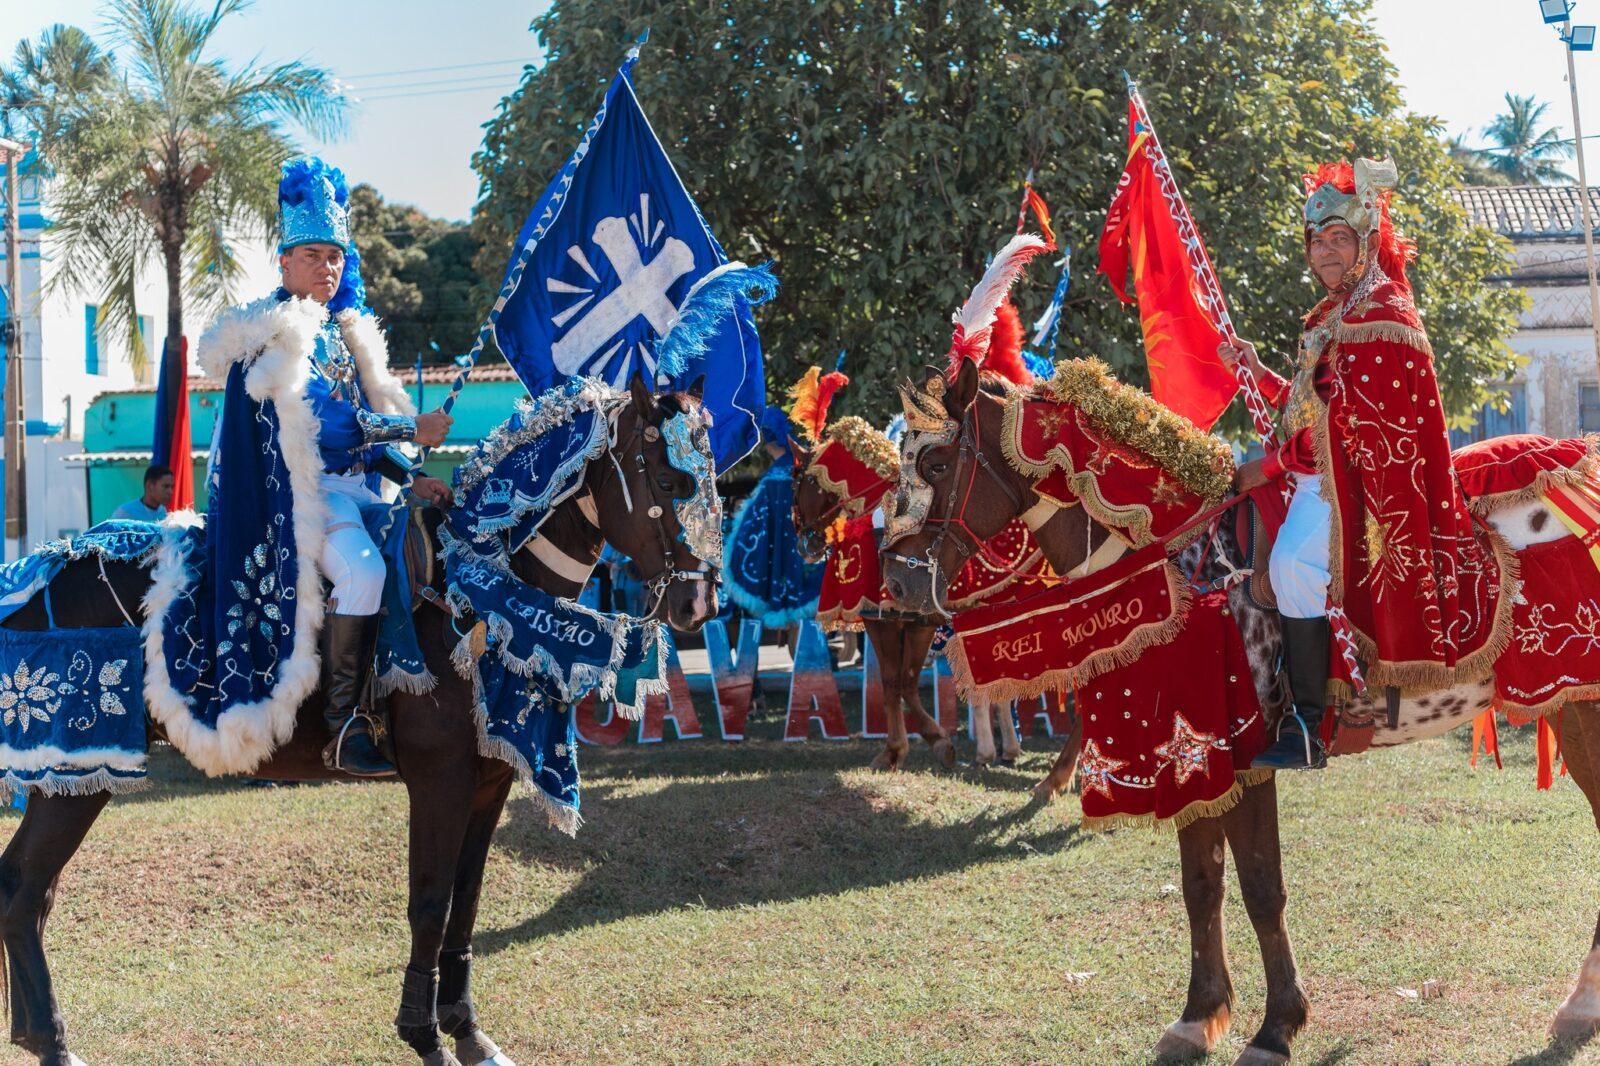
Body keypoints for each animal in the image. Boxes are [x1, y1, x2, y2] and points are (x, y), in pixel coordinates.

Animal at [0, 376, 716, 1062]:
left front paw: (467, 1030)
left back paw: (34, 1034)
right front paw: (425, 1036)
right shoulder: (440, 783)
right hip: (81, 769)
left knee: (24, 885)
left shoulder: (489, 784)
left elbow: (465, 905)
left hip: (69, 775)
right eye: (669, 480)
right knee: (28, 886)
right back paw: (55, 1041)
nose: (699, 603)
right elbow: (429, 904)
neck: (479, 595)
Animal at [883, 358, 1600, 1062]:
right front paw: (1199, 1017)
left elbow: (1260, 886)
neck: (1180, 569)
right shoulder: (1189, 760)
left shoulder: (1244, 757)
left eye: (937, 464)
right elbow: (1201, 885)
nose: (895, 582)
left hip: (1578, 709)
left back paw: (1578, 1004)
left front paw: (1277, 1026)